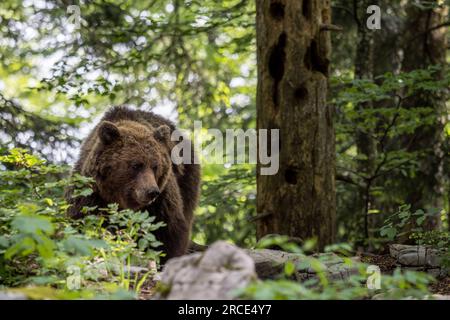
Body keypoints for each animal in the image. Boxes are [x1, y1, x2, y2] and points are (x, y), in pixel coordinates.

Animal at [65, 106, 200, 258]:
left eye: (155, 166)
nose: (152, 192)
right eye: (136, 165)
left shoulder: (162, 201)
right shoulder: (90, 193)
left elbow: (168, 232)